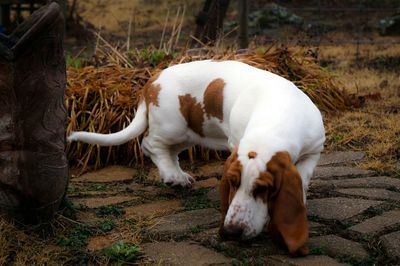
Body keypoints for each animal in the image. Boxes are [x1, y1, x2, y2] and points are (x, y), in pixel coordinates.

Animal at [68, 60, 324, 256]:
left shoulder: (314, 151)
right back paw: (172, 176)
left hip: (191, 132)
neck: (274, 120)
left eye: (263, 189)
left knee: (170, 151)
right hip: (173, 126)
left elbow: (302, 179)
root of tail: (153, 80)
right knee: (150, 144)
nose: (231, 232)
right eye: (232, 183)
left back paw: (178, 175)